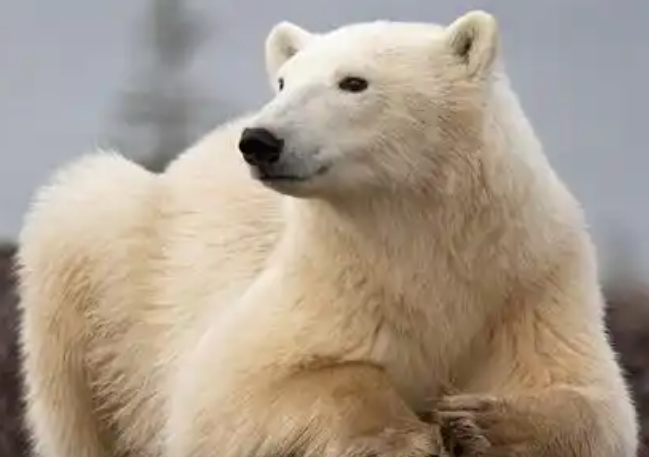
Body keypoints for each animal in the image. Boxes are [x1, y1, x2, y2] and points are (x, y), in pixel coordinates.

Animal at [16, 9, 638, 457]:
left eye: (353, 82)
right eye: (283, 80)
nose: (260, 140)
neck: (418, 236)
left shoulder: (528, 280)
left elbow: (595, 403)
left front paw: (478, 423)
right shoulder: (326, 279)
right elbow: (236, 389)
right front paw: (408, 435)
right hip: (111, 267)